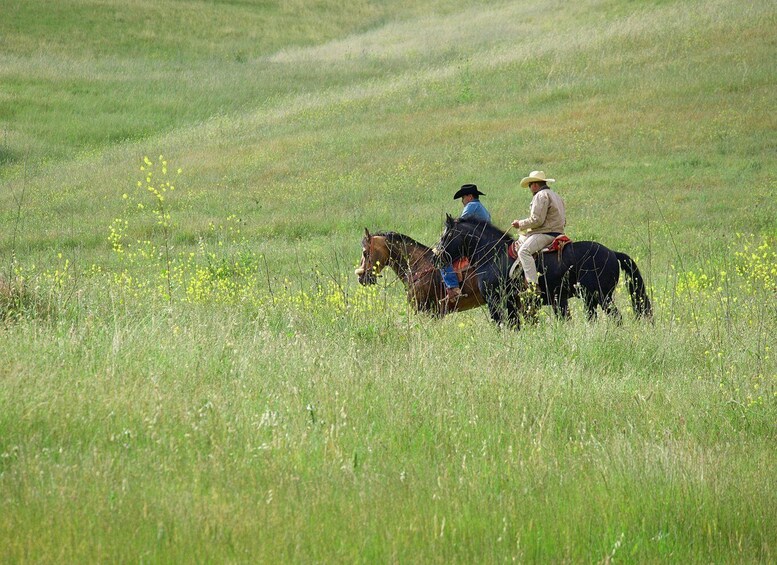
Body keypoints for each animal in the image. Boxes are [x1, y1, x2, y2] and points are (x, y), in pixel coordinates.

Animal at [432, 215, 652, 326]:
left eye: (446, 235)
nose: (436, 257)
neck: (493, 256)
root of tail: (612, 253)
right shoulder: (511, 302)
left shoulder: (496, 301)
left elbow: (501, 324)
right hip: (590, 298)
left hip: (600, 296)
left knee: (616, 318)